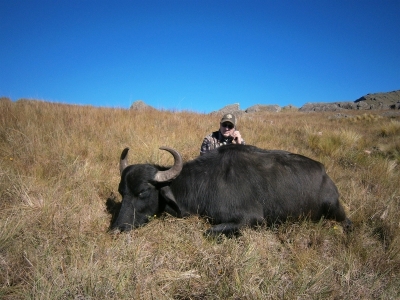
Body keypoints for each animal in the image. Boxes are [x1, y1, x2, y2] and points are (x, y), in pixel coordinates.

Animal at [111, 144, 352, 236]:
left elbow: (209, 231)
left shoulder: (250, 219)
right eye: (122, 192)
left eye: (143, 192)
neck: (204, 181)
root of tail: (325, 174)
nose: (116, 229)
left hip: (336, 211)